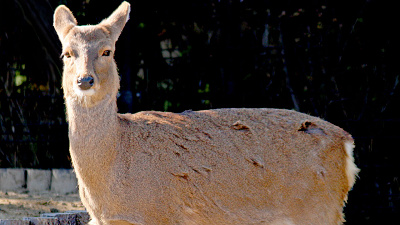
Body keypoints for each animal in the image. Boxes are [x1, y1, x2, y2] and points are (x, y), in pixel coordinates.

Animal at [54, 2, 360, 225]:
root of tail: (347, 142)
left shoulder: (160, 215)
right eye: (67, 53)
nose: (85, 80)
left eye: (107, 51)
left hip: (317, 208)